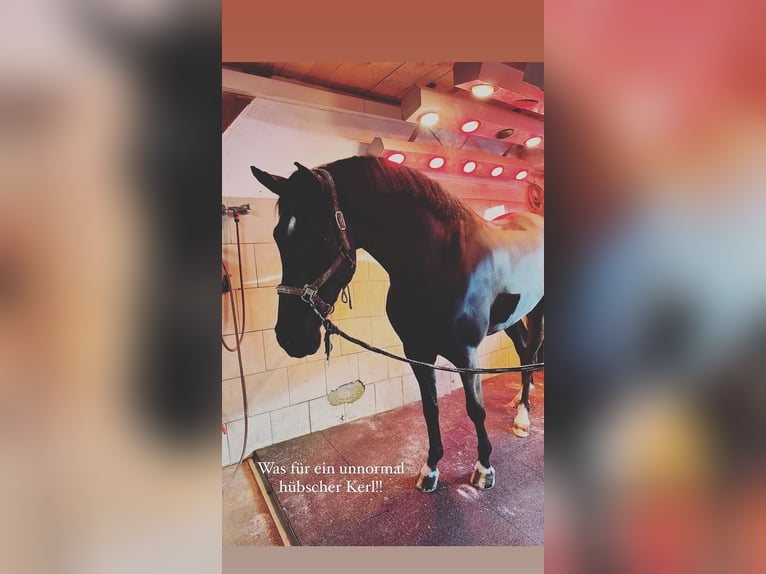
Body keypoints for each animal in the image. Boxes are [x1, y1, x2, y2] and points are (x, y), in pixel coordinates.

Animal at [250, 155, 544, 492]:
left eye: (319, 238)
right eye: (278, 236)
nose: (289, 337)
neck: (441, 262)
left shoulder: (467, 354)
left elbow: (475, 409)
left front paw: (484, 468)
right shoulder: (416, 352)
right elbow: (430, 408)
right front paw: (430, 469)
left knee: (531, 353)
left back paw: (523, 417)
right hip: (511, 319)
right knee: (523, 353)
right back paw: (518, 402)